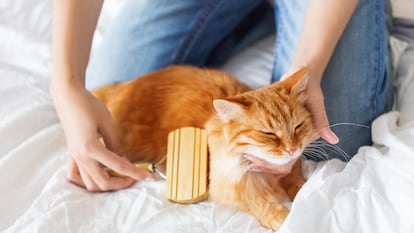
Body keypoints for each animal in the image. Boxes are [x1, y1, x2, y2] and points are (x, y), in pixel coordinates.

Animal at [93, 65, 314, 229]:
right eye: (269, 134)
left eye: (297, 126)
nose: (292, 149)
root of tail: (121, 86)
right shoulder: (226, 188)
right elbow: (258, 203)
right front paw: (283, 217)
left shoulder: (292, 166)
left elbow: (297, 183)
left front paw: (302, 194)